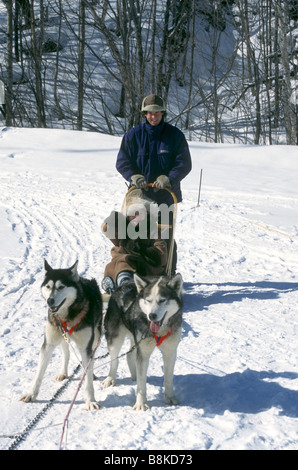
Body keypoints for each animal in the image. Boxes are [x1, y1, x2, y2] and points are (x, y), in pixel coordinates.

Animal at [20, 260, 103, 412]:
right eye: (48, 286)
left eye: (61, 287)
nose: (50, 301)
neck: (66, 316)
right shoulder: (48, 344)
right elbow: (39, 373)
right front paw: (31, 394)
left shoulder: (85, 348)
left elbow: (87, 376)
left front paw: (90, 400)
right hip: (62, 337)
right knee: (66, 353)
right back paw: (63, 372)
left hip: (96, 337)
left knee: (91, 361)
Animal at [103, 274, 184, 410]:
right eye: (148, 300)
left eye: (162, 300)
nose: (151, 315)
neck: (159, 331)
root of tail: (123, 285)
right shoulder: (144, 352)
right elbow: (141, 384)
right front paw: (141, 404)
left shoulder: (170, 351)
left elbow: (168, 378)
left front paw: (170, 397)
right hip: (115, 339)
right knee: (114, 360)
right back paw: (110, 378)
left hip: (135, 339)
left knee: (129, 355)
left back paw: (134, 375)